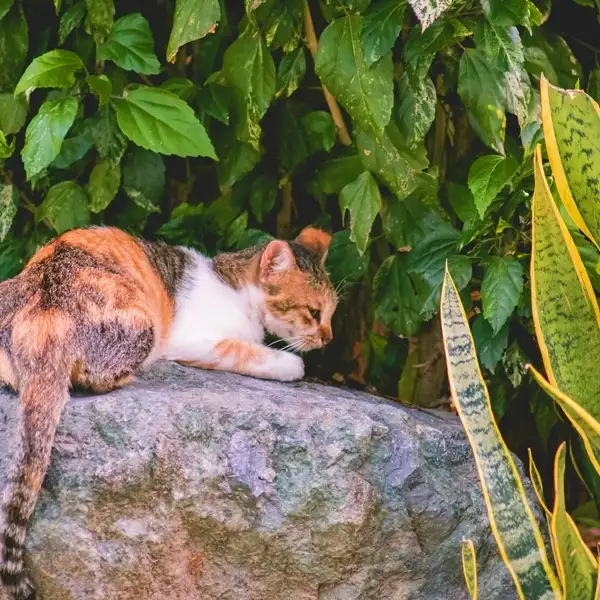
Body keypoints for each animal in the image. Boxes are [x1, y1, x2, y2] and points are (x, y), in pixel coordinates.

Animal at [0, 223, 338, 596]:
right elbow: (249, 352)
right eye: (313, 313)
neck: (235, 287)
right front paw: (291, 364)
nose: (329, 338)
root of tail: (49, 307)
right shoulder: (195, 341)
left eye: (332, 313)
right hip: (141, 327)